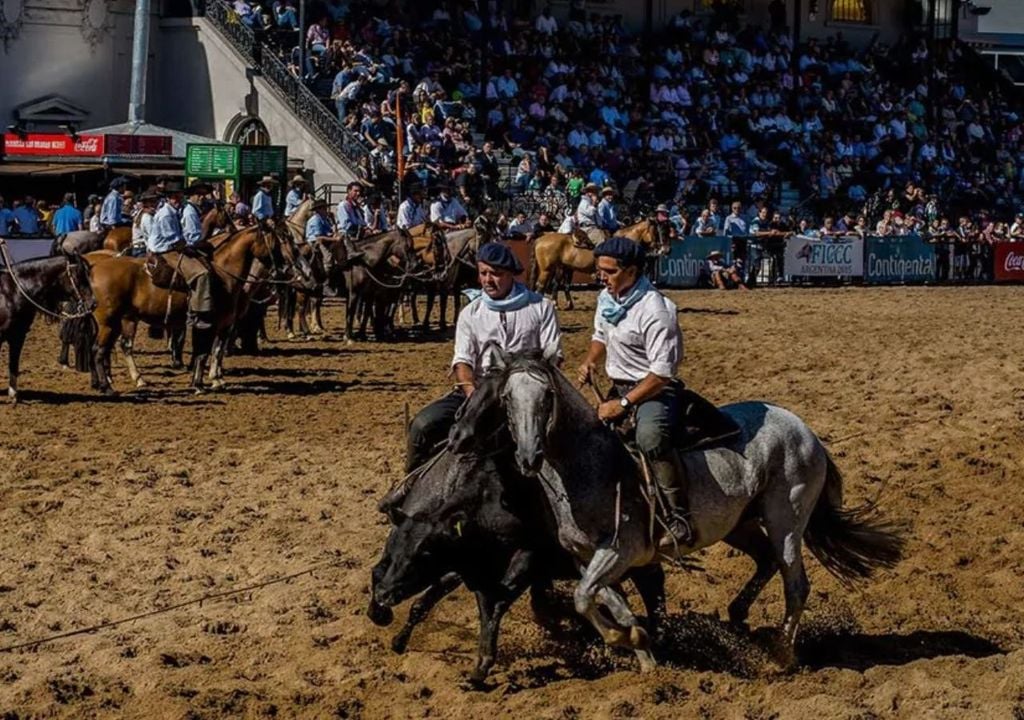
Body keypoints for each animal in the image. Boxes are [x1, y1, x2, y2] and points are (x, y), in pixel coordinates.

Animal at [0, 252, 95, 403]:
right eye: (79, 274)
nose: (93, 303)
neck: (11, 292)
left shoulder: (18, 336)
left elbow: (13, 364)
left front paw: (14, 395)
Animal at [449, 350, 906, 671]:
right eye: (507, 398)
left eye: (546, 396)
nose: (528, 457)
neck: (590, 465)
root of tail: (806, 431)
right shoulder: (587, 558)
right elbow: (607, 601)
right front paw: (643, 653)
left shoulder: (619, 552)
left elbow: (582, 598)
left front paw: (625, 641)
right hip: (740, 523)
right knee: (765, 561)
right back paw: (738, 616)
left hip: (787, 522)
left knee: (795, 584)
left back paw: (781, 654)